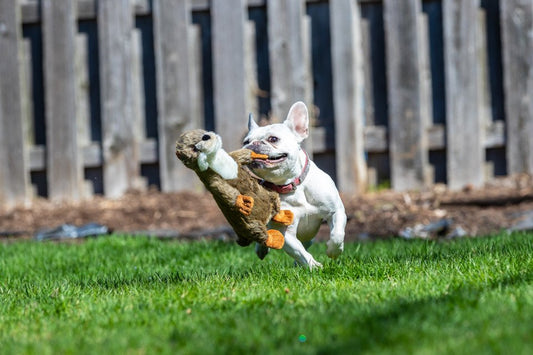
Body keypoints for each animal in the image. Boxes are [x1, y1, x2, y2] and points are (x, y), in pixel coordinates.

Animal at [242, 101, 344, 268]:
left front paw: (333, 251)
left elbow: (337, 234)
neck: (291, 184)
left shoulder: (336, 211)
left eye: (273, 139)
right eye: (245, 141)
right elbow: (299, 251)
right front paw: (314, 266)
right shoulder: (285, 233)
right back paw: (262, 249)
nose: (252, 145)